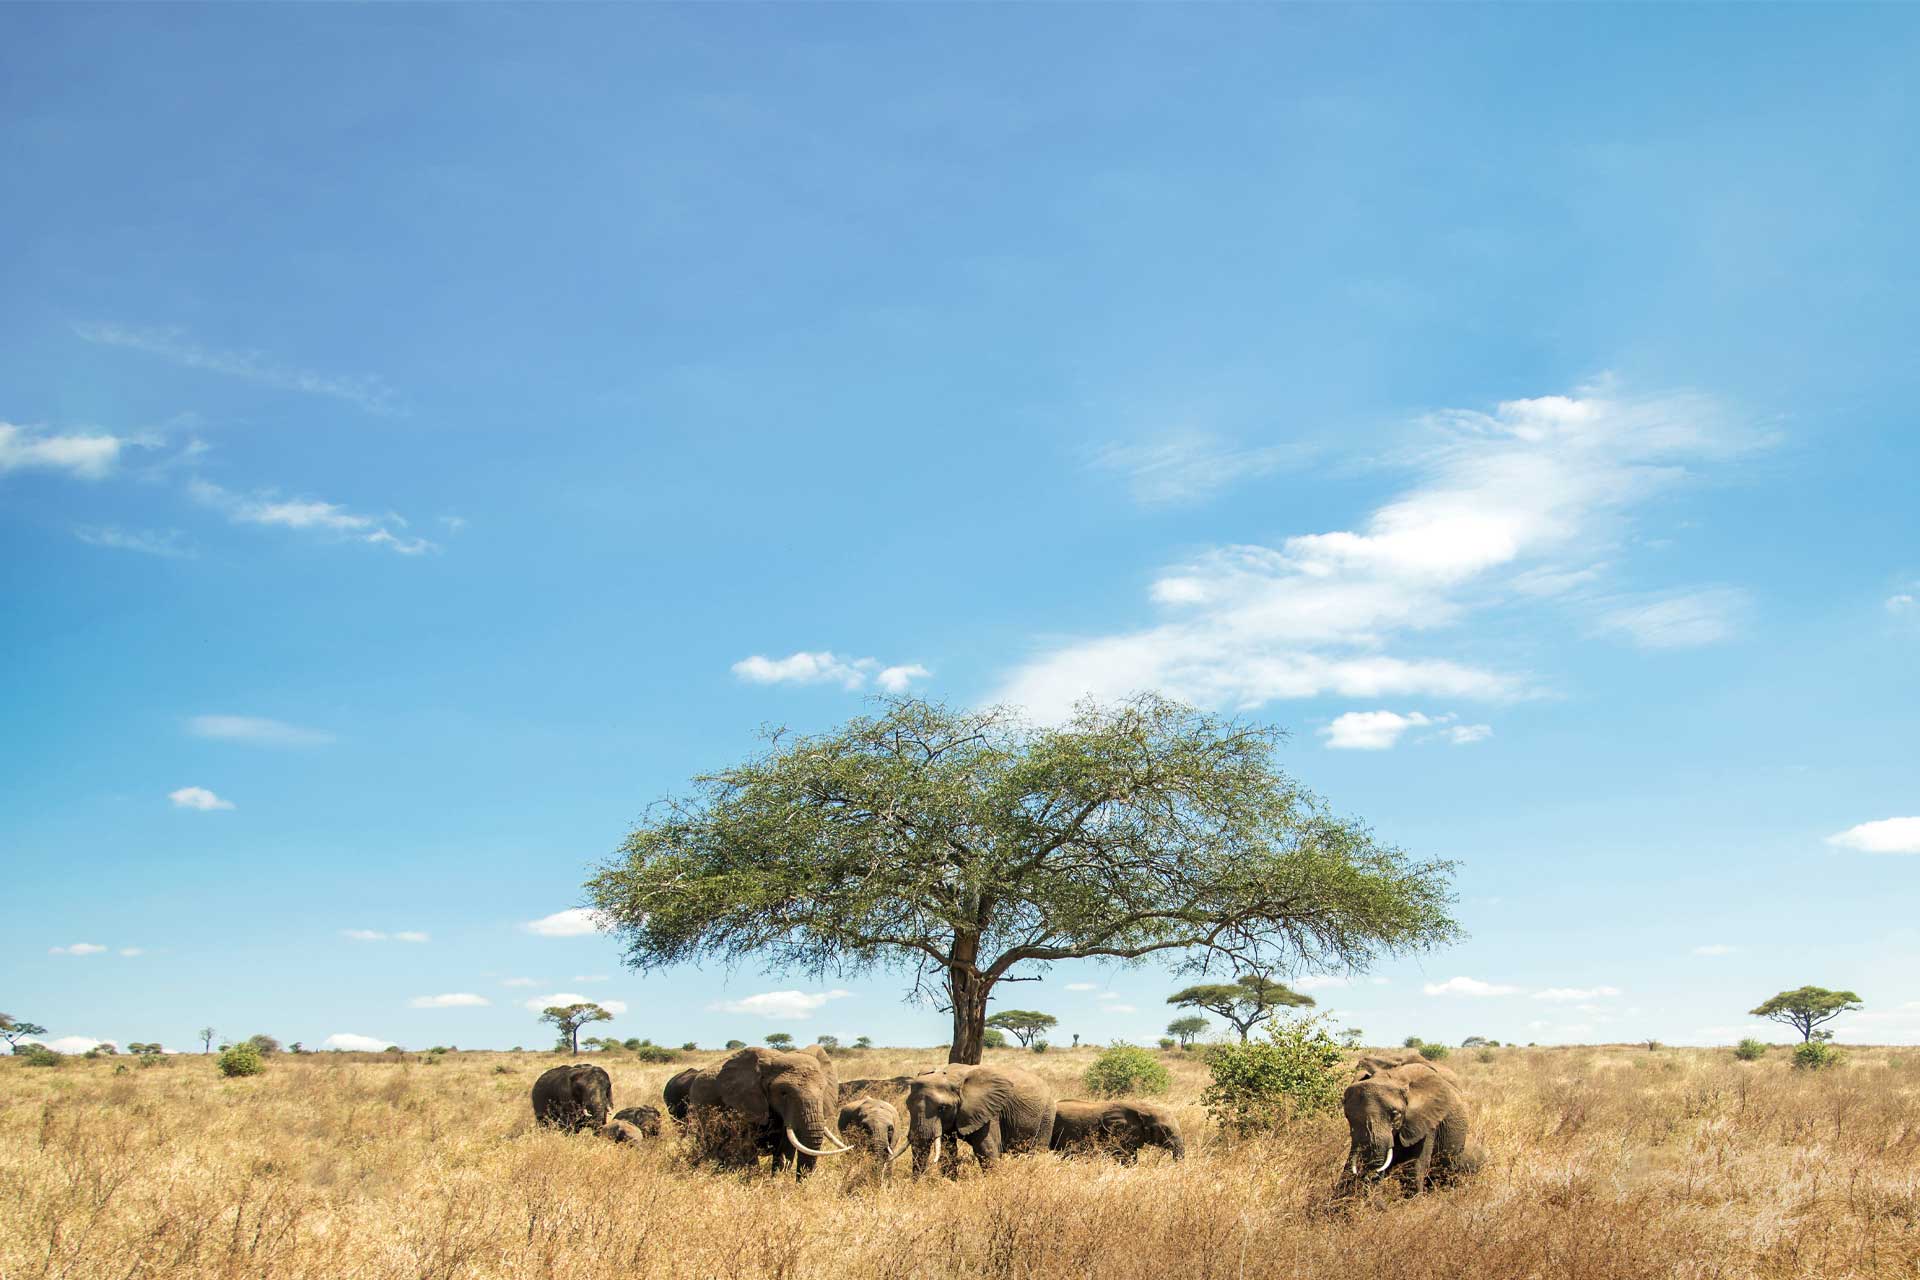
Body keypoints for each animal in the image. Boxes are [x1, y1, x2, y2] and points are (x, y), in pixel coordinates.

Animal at [906, 1059, 1059, 1182]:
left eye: (942, 1108)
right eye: (907, 1106)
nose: (917, 1185)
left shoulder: (990, 1111)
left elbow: (986, 1148)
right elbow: (948, 1149)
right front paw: (951, 1183)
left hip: (1047, 1114)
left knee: (1037, 1149)